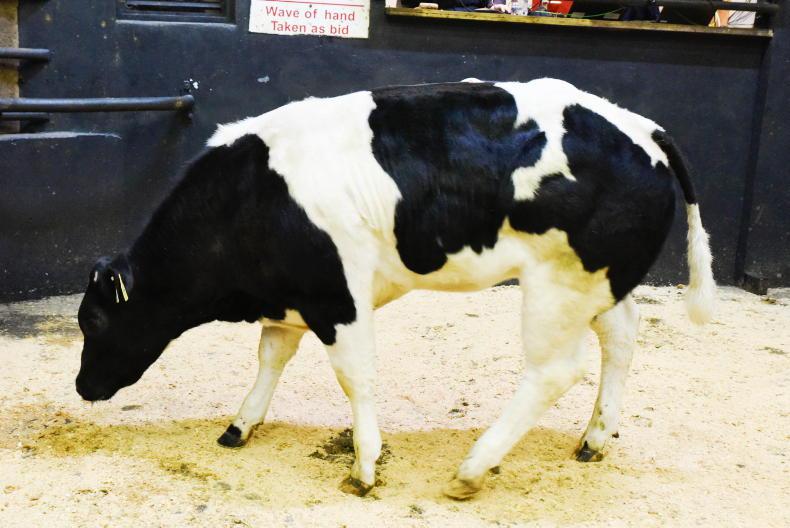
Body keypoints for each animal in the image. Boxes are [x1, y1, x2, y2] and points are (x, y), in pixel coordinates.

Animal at [75, 78, 715, 499]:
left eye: (95, 321)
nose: (83, 386)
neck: (250, 199)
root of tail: (642, 127)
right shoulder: (291, 298)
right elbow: (271, 357)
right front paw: (241, 424)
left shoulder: (338, 298)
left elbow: (354, 377)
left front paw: (364, 466)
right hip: (600, 282)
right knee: (622, 336)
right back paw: (595, 436)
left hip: (559, 287)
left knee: (555, 371)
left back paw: (473, 468)